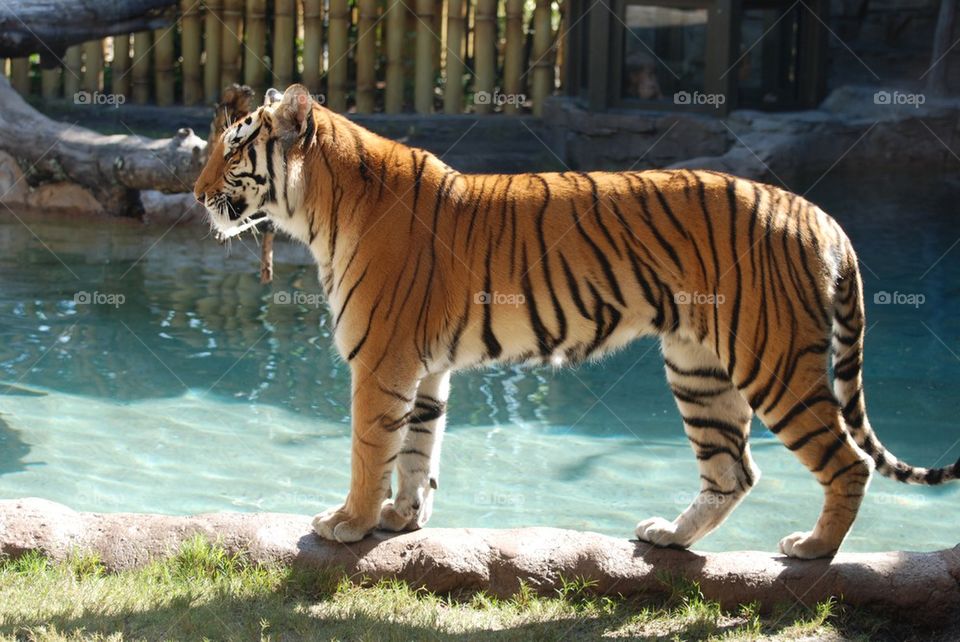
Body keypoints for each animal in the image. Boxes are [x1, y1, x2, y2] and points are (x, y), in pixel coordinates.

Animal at [194, 84, 959, 559]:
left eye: (232, 151)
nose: (196, 195)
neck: (319, 208)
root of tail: (818, 213)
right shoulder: (425, 367)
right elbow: (417, 450)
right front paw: (400, 519)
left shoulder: (381, 362)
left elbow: (367, 450)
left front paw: (346, 523)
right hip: (699, 367)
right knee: (733, 470)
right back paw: (670, 537)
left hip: (772, 362)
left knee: (847, 461)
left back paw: (811, 550)